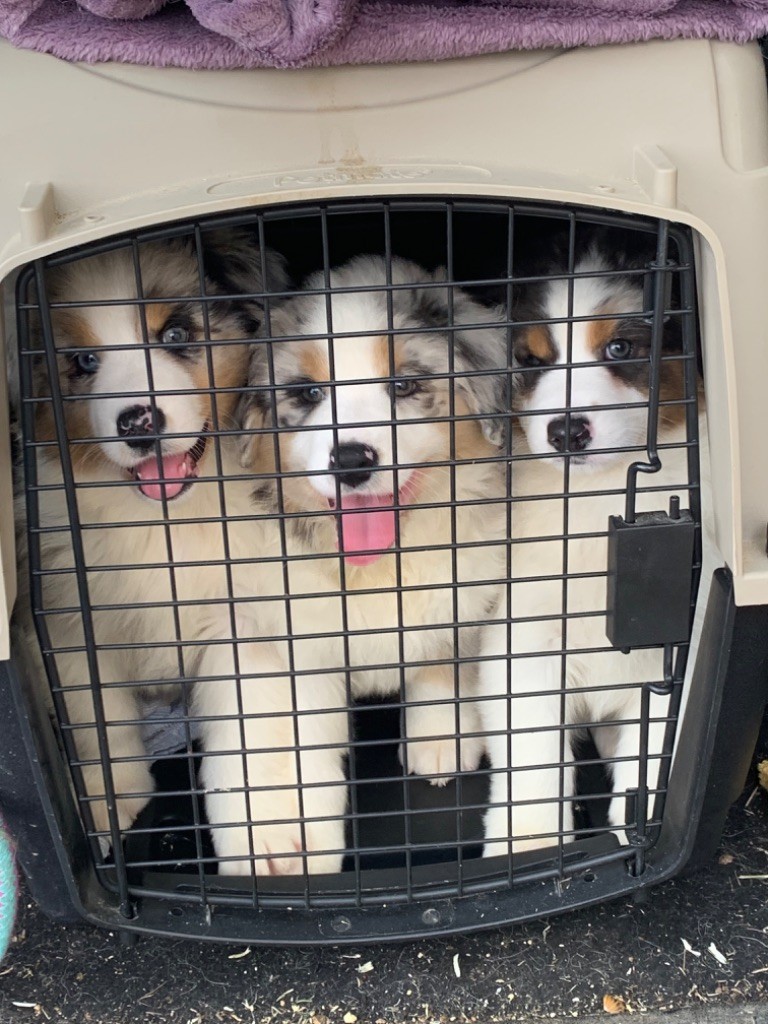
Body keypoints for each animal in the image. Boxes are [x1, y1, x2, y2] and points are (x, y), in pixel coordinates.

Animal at [15, 232, 288, 839]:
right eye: (84, 361)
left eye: (175, 335)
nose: (137, 423)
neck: (168, 522)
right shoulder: (71, 623)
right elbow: (99, 722)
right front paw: (111, 803)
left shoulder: (247, 608)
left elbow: (250, 719)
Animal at [195, 253, 514, 872]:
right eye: (308, 392)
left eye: (404, 384)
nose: (350, 460)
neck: (374, 568)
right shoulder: (290, 637)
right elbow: (290, 739)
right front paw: (287, 845)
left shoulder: (461, 593)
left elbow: (439, 663)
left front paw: (441, 741)